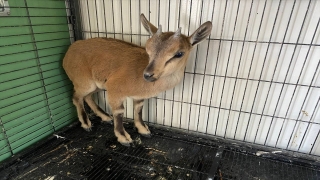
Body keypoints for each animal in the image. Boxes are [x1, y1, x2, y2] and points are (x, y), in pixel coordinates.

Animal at [62, 14, 212, 146]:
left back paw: (105, 117)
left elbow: (138, 110)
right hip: (84, 82)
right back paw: (86, 124)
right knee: (77, 97)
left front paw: (144, 130)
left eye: (179, 53)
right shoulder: (114, 90)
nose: (148, 75)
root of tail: (69, 52)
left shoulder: (138, 96)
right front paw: (124, 138)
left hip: (97, 85)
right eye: (148, 49)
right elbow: (119, 112)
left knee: (88, 96)